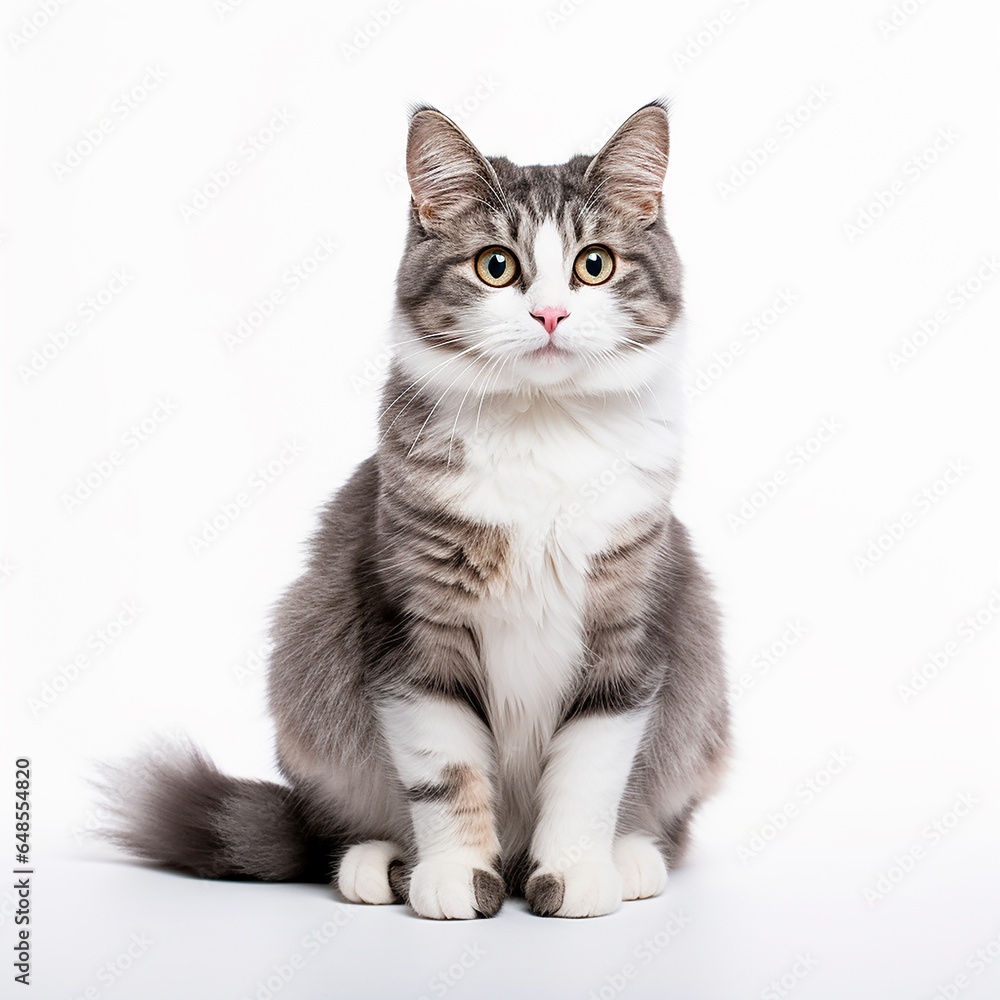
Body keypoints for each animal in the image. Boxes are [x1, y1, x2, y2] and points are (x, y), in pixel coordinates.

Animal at [99, 97, 728, 916]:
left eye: (595, 264)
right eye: (497, 265)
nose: (551, 316)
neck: (540, 430)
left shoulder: (628, 624)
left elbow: (591, 770)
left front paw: (576, 874)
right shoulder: (413, 627)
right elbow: (445, 768)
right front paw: (456, 874)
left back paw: (632, 858)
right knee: (338, 823)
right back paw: (377, 864)